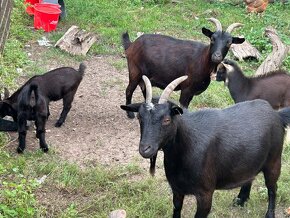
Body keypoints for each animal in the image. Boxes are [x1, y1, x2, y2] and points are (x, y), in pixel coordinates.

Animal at [120, 75, 290, 218]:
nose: (145, 149)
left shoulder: (205, 193)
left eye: (167, 120)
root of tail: (277, 115)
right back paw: (241, 200)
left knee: (272, 188)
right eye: (140, 117)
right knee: (250, 176)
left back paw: (269, 214)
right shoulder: (176, 188)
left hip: (274, 160)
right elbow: (176, 209)